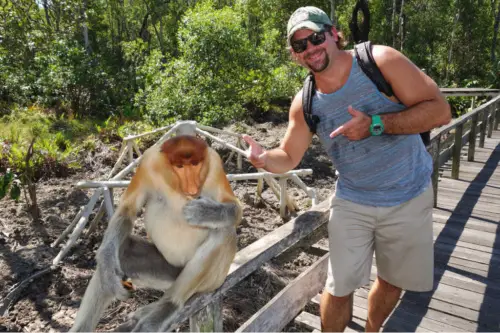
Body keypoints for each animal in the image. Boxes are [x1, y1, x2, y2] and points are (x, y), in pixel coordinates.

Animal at [70, 134, 242, 330]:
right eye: (180, 167)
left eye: (195, 164)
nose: (192, 187)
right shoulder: (147, 163)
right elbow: (127, 209)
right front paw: (107, 267)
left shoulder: (214, 165)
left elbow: (235, 209)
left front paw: (202, 212)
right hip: (167, 274)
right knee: (123, 252)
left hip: (213, 280)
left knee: (224, 232)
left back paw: (167, 307)